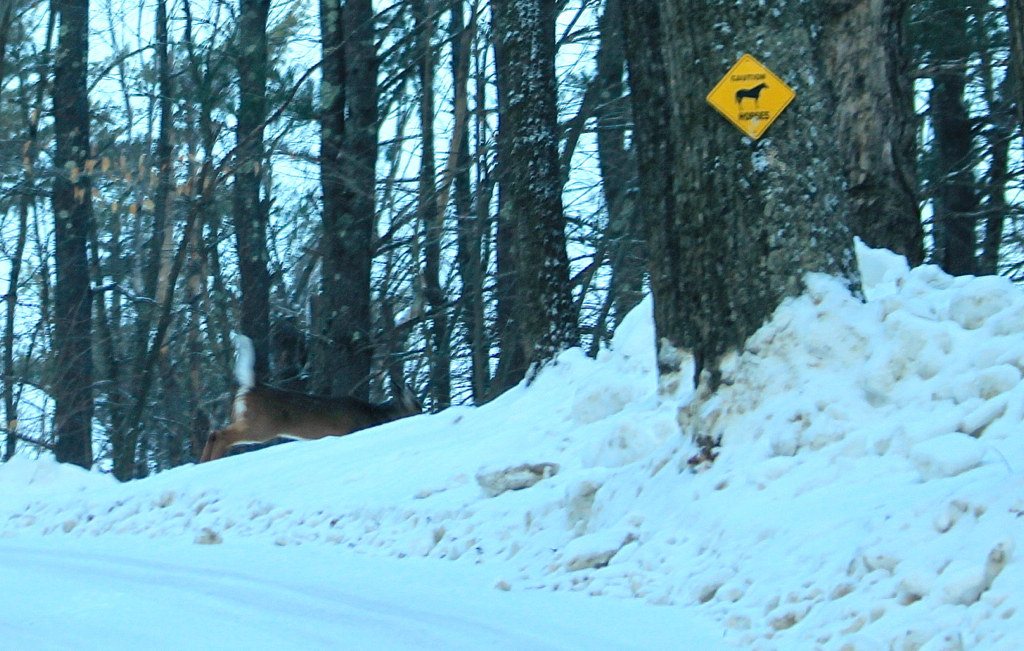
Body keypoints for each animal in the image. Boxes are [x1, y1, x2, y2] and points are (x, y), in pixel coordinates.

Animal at [197, 335, 421, 462]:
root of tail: (253, 386)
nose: (424, 412)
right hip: (260, 426)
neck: (377, 416)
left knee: (213, 433)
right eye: (417, 406)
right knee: (220, 435)